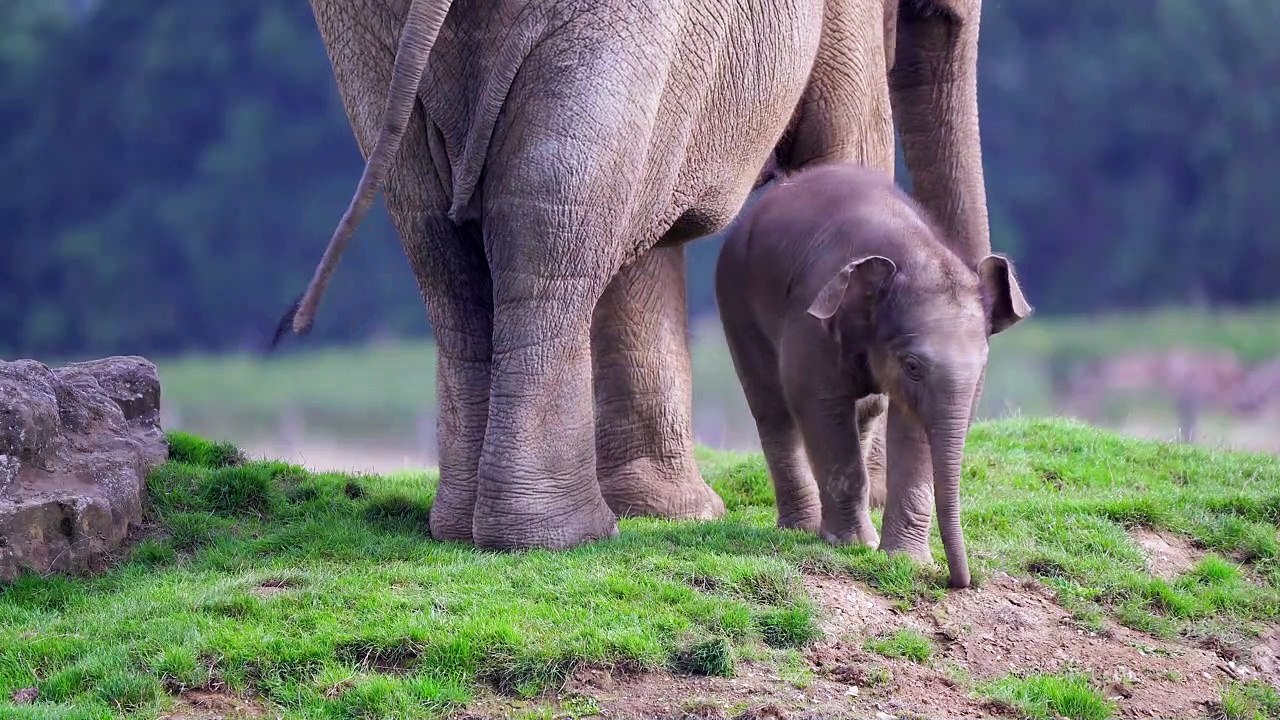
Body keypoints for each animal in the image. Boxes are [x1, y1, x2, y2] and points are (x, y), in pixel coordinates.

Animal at [277, 0, 994, 554]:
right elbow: (848, 147)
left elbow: (643, 238)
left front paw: (670, 511)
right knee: (556, 204)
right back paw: (563, 536)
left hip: (363, 32)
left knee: (436, 227)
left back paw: (468, 529)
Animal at [715, 163, 1030, 588]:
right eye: (912, 366)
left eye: (983, 365)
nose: (957, 581)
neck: (914, 252)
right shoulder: (812, 322)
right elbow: (818, 404)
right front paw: (854, 546)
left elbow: (912, 427)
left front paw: (907, 561)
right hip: (735, 299)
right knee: (772, 408)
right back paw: (801, 529)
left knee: (866, 411)